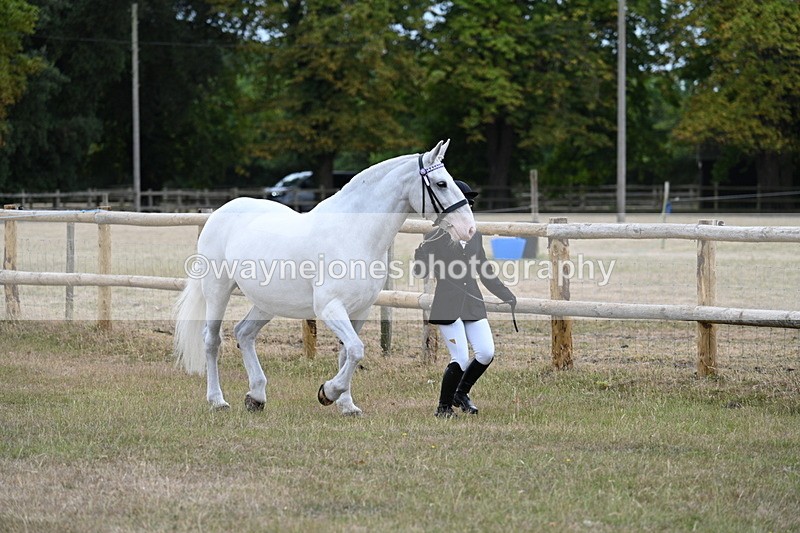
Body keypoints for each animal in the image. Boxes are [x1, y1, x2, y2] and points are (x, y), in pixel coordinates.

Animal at [173, 140, 476, 415]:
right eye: (441, 184)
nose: (469, 229)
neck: (353, 233)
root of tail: (219, 213)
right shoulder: (330, 307)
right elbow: (356, 349)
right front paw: (328, 392)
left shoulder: (361, 310)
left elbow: (348, 352)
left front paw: (347, 405)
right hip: (218, 291)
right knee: (212, 341)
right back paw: (217, 400)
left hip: (267, 302)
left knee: (244, 333)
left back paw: (256, 397)